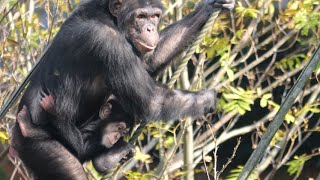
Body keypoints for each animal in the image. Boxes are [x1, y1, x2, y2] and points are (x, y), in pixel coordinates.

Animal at [10, 0, 235, 179]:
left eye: (154, 16)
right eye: (141, 16)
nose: (150, 29)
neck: (112, 19)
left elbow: (150, 61)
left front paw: (208, 7)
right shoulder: (107, 40)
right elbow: (150, 100)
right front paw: (208, 98)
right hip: (40, 147)